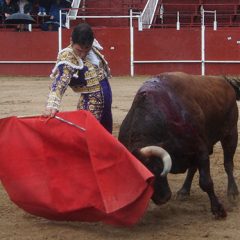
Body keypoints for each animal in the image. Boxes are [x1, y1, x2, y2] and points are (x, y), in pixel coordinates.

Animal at [119, 72, 239, 218]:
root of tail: (225, 81)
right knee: (193, 168)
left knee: (228, 163)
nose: (163, 198)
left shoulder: (201, 150)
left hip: (231, 133)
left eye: (155, 168)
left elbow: (206, 182)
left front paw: (218, 210)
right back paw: (184, 191)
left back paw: (232, 192)